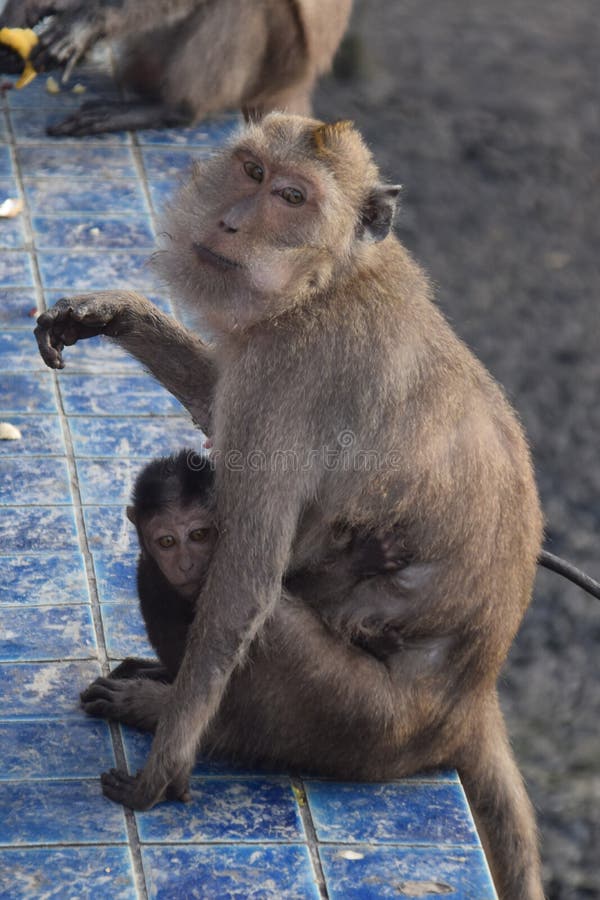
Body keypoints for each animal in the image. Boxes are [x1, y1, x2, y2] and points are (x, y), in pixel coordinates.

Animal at [35, 114, 548, 900]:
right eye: (251, 171)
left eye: (291, 197)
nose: (230, 221)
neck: (328, 282)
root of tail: (474, 701)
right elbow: (212, 400)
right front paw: (114, 311)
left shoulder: (287, 375)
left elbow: (244, 583)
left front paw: (164, 767)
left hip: (357, 721)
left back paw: (176, 714)